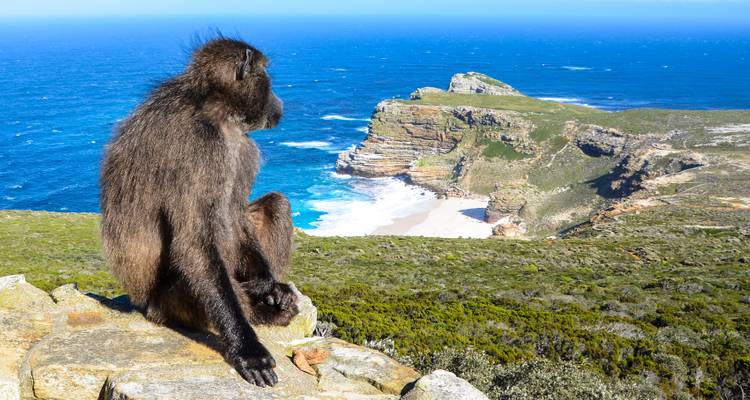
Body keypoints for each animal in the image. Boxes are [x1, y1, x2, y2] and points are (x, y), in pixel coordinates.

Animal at [100, 37, 299, 388]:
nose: (280, 102)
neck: (214, 109)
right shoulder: (200, 150)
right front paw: (248, 350)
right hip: (167, 306)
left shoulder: (242, 146)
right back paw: (261, 314)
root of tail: (143, 305)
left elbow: (236, 214)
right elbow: (193, 243)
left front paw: (269, 285)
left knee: (277, 204)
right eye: (267, 77)